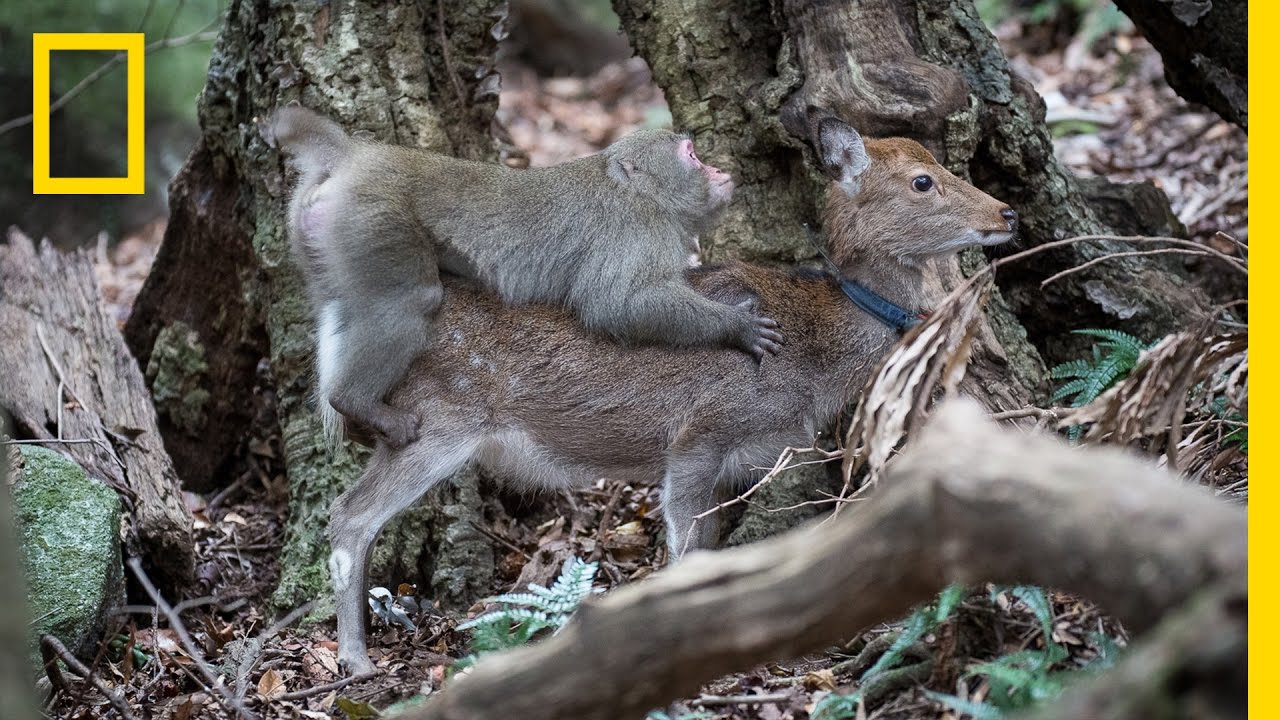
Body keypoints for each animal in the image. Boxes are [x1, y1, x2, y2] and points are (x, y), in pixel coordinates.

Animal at [266, 107, 783, 448]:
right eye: (691, 155)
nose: (717, 169)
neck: (643, 194)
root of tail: (357, 157)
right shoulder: (636, 229)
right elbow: (616, 305)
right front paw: (735, 325)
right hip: (373, 217)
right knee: (412, 299)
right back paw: (356, 402)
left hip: (322, 232)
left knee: (339, 305)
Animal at [325, 117, 1019, 674]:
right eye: (923, 181)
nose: (1006, 214)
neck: (811, 359)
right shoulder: (699, 433)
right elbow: (684, 555)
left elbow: (707, 553)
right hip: (437, 418)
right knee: (349, 515)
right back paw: (356, 661)